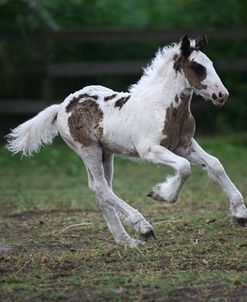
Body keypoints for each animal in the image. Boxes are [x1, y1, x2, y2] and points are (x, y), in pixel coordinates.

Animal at [7, 36, 247, 248]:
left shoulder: (184, 145)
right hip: (88, 150)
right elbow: (184, 168)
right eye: (198, 67)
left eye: (211, 64)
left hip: (106, 154)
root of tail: (61, 107)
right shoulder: (149, 151)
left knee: (102, 189)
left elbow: (215, 164)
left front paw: (240, 214)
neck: (162, 106)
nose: (221, 95)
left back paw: (127, 241)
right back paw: (143, 228)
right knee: (100, 188)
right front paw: (159, 193)